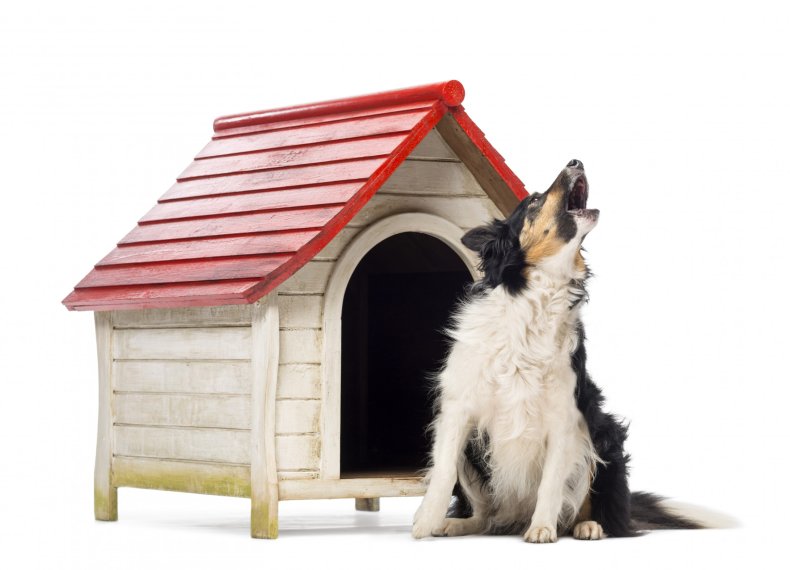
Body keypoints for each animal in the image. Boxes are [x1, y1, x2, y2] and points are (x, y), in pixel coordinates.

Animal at [414, 161, 712, 540]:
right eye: (534, 200)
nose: (575, 162)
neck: (537, 298)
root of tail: (514, 515)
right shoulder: (459, 407)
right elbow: (444, 471)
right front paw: (426, 521)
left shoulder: (566, 418)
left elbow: (551, 483)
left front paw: (543, 527)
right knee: (484, 514)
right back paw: (455, 524)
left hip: (603, 434)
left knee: (595, 508)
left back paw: (588, 525)